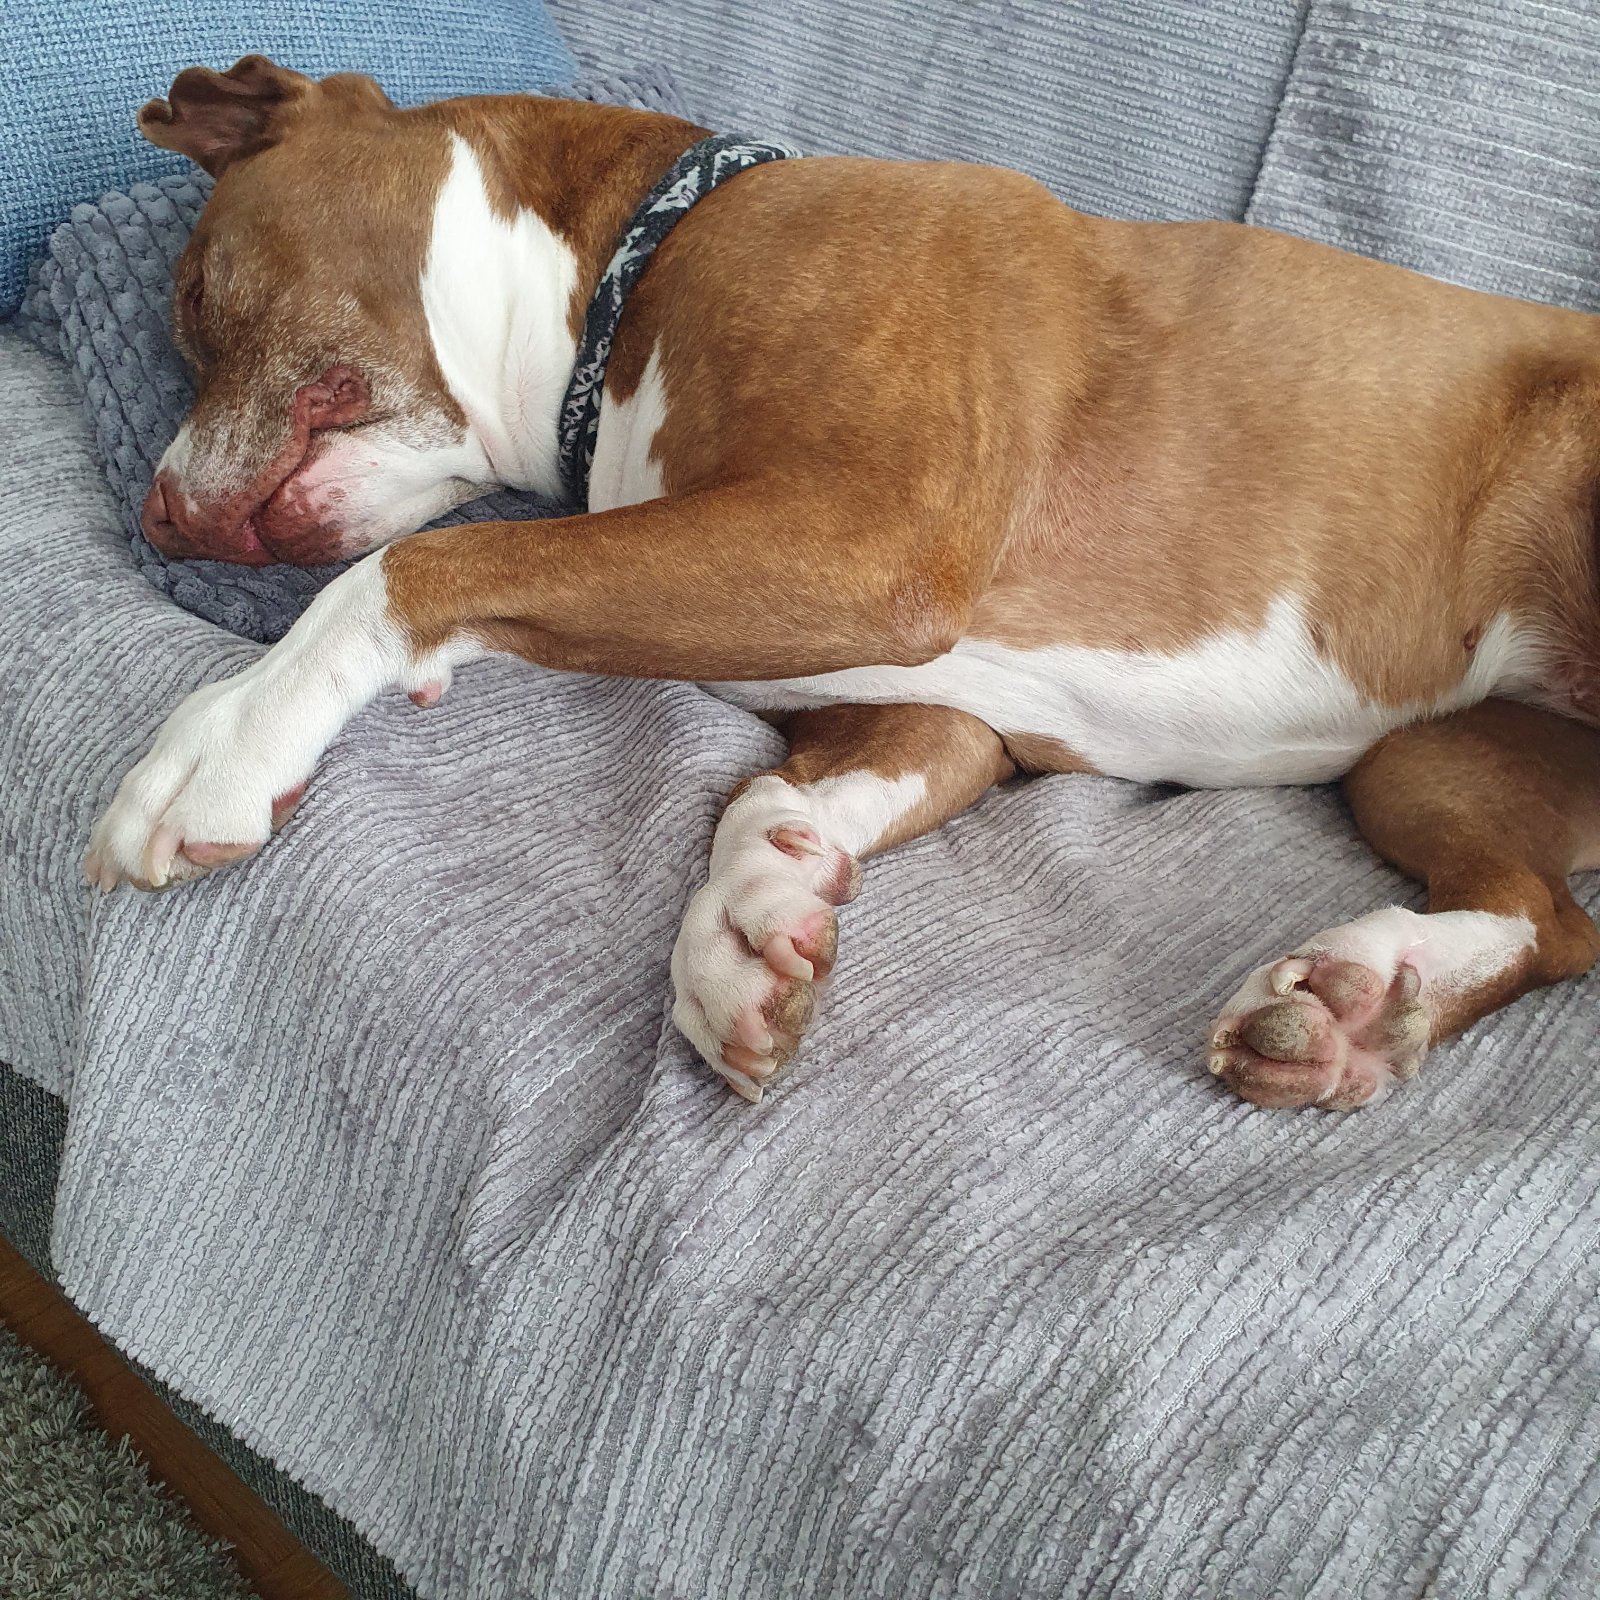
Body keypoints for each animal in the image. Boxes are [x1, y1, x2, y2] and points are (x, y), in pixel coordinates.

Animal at [86, 56, 1600, 1109]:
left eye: (189, 296)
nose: (157, 513)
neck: (643, 261)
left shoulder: (864, 540)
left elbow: (420, 566)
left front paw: (227, 734)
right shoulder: (936, 706)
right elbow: (772, 791)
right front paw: (750, 926)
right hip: (1423, 764)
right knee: (1551, 920)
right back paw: (1364, 1004)